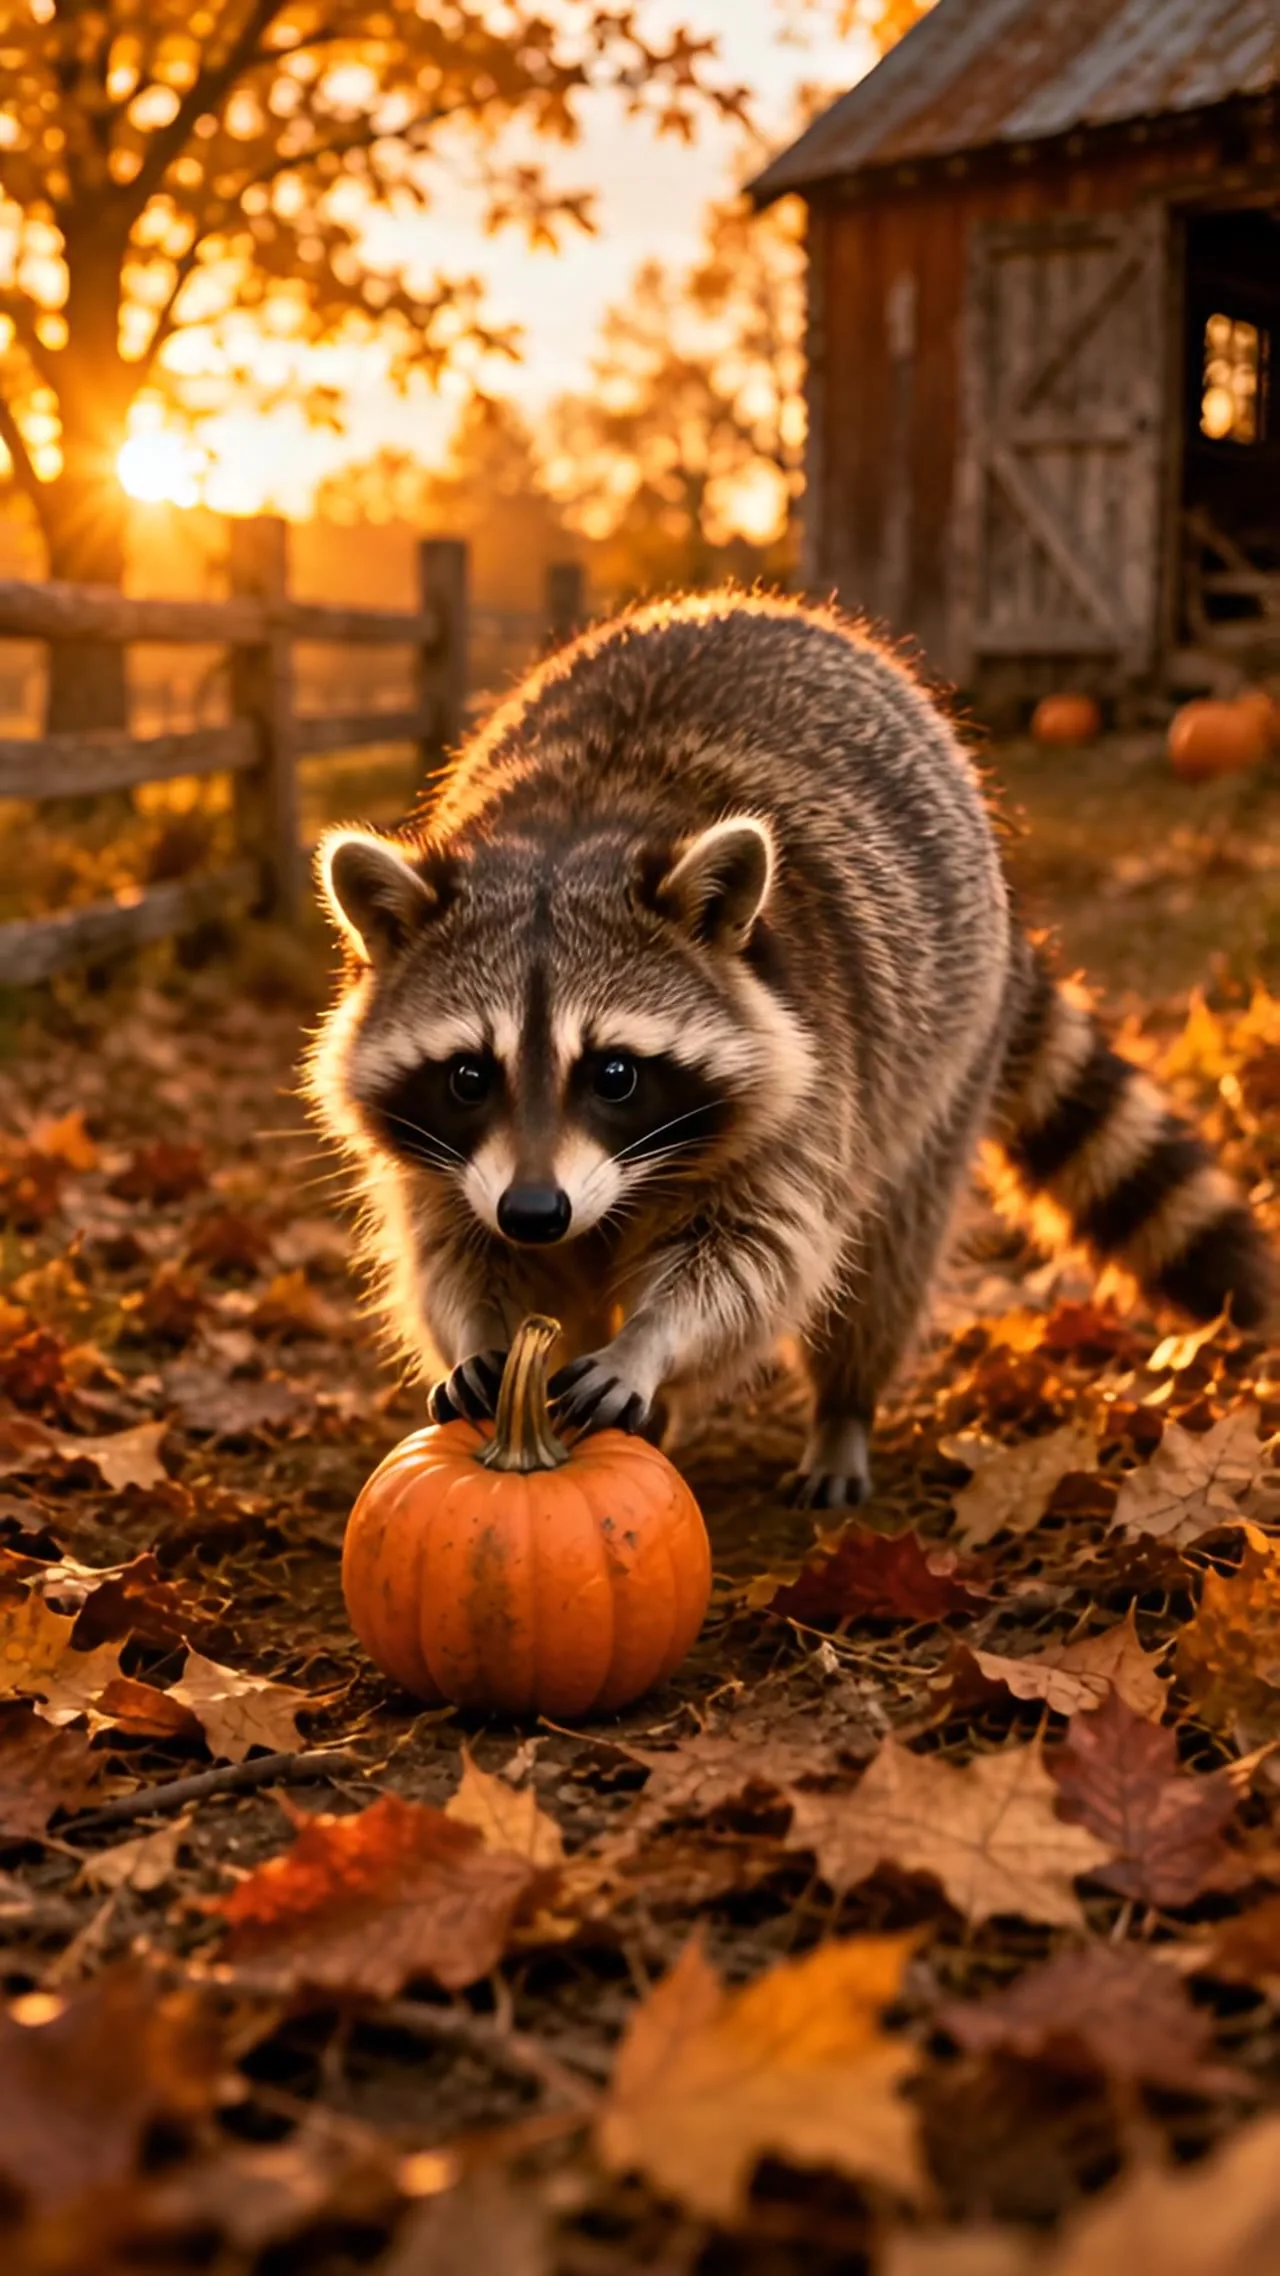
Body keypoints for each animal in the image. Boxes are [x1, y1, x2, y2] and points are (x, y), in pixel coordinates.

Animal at [308, 593, 1272, 1507]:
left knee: (885, 1258)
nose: (536, 1212)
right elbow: (456, 1250)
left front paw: (651, 1344)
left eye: (615, 1073)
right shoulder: (453, 1165)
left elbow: (756, 1257)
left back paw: (841, 1408)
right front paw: (483, 1333)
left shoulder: (815, 1080)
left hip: (942, 1060)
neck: (573, 835)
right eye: (470, 1075)